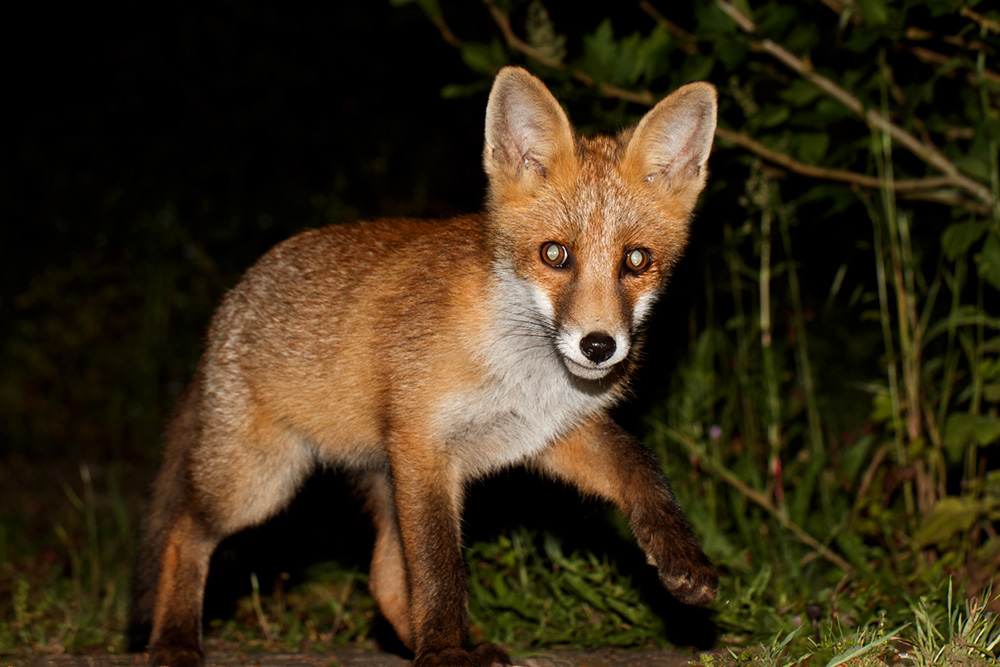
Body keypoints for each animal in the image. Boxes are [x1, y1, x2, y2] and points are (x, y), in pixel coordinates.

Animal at [128, 66, 719, 667]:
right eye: (554, 254)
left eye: (637, 261)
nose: (598, 346)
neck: (525, 377)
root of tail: (230, 303)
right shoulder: (424, 446)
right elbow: (440, 569)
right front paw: (445, 652)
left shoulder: (548, 433)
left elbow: (639, 465)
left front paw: (680, 555)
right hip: (260, 482)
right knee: (184, 531)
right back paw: (173, 641)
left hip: (377, 482)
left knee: (382, 578)